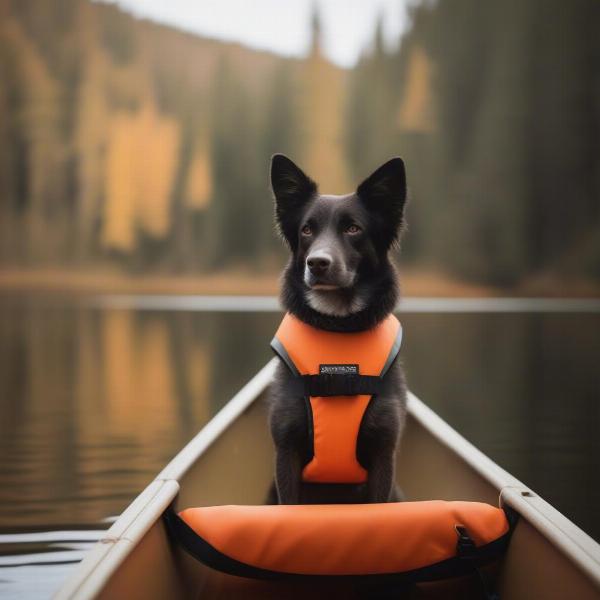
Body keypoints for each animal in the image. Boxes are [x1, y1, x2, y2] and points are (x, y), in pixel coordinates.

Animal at [268, 156, 406, 506]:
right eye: (306, 230)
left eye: (353, 228)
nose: (317, 263)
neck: (338, 325)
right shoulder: (286, 450)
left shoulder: (384, 452)